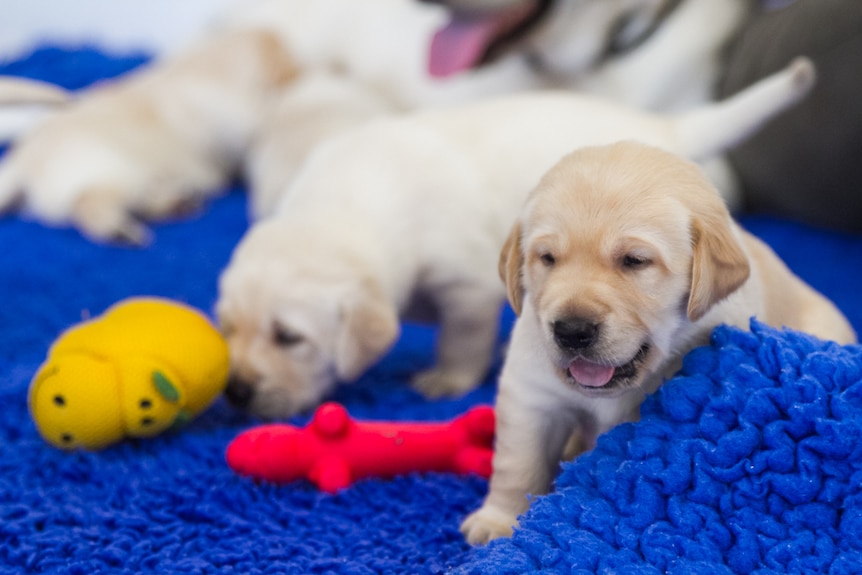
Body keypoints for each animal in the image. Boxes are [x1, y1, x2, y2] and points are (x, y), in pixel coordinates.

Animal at [216, 58, 816, 420]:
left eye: (289, 337)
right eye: (228, 328)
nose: (236, 392)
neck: (347, 202)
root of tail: (667, 130)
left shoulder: (466, 286)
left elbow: (462, 336)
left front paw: (448, 378)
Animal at [460, 142, 856, 548]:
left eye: (635, 261)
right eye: (547, 258)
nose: (571, 330)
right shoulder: (531, 392)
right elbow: (519, 462)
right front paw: (498, 520)